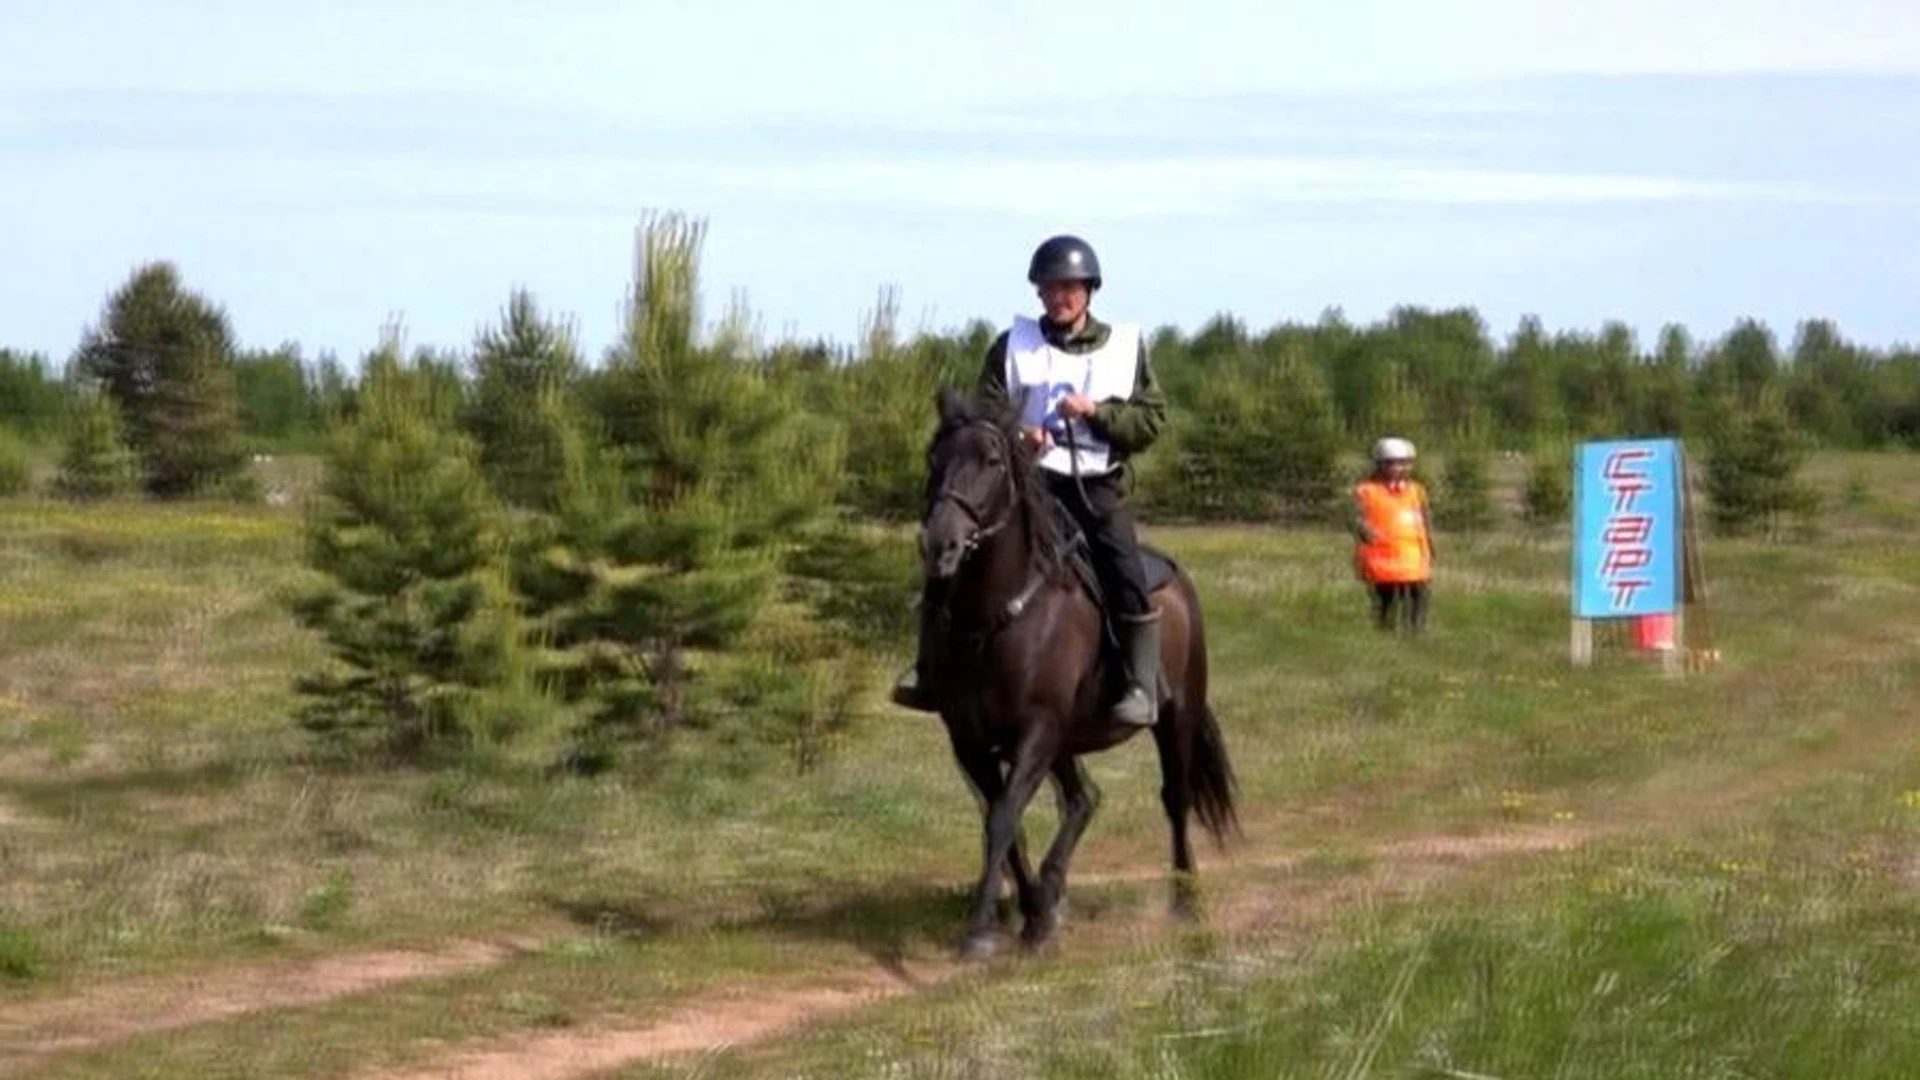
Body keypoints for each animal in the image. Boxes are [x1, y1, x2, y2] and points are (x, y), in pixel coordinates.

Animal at [917, 382, 1244, 953]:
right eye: (934, 458)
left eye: (992, 461)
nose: (941, 545)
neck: (995, 617)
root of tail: (1179, 582)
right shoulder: (971, 739)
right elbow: (1005, 823)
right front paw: (1033, 914)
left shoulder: (1038, 729)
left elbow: (1003, 818)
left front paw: (981, 931)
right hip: (1066, 741)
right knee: (1082, 799)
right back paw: (1051, 896)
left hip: (1173, 718)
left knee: (1174, 800)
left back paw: (1186, 902)